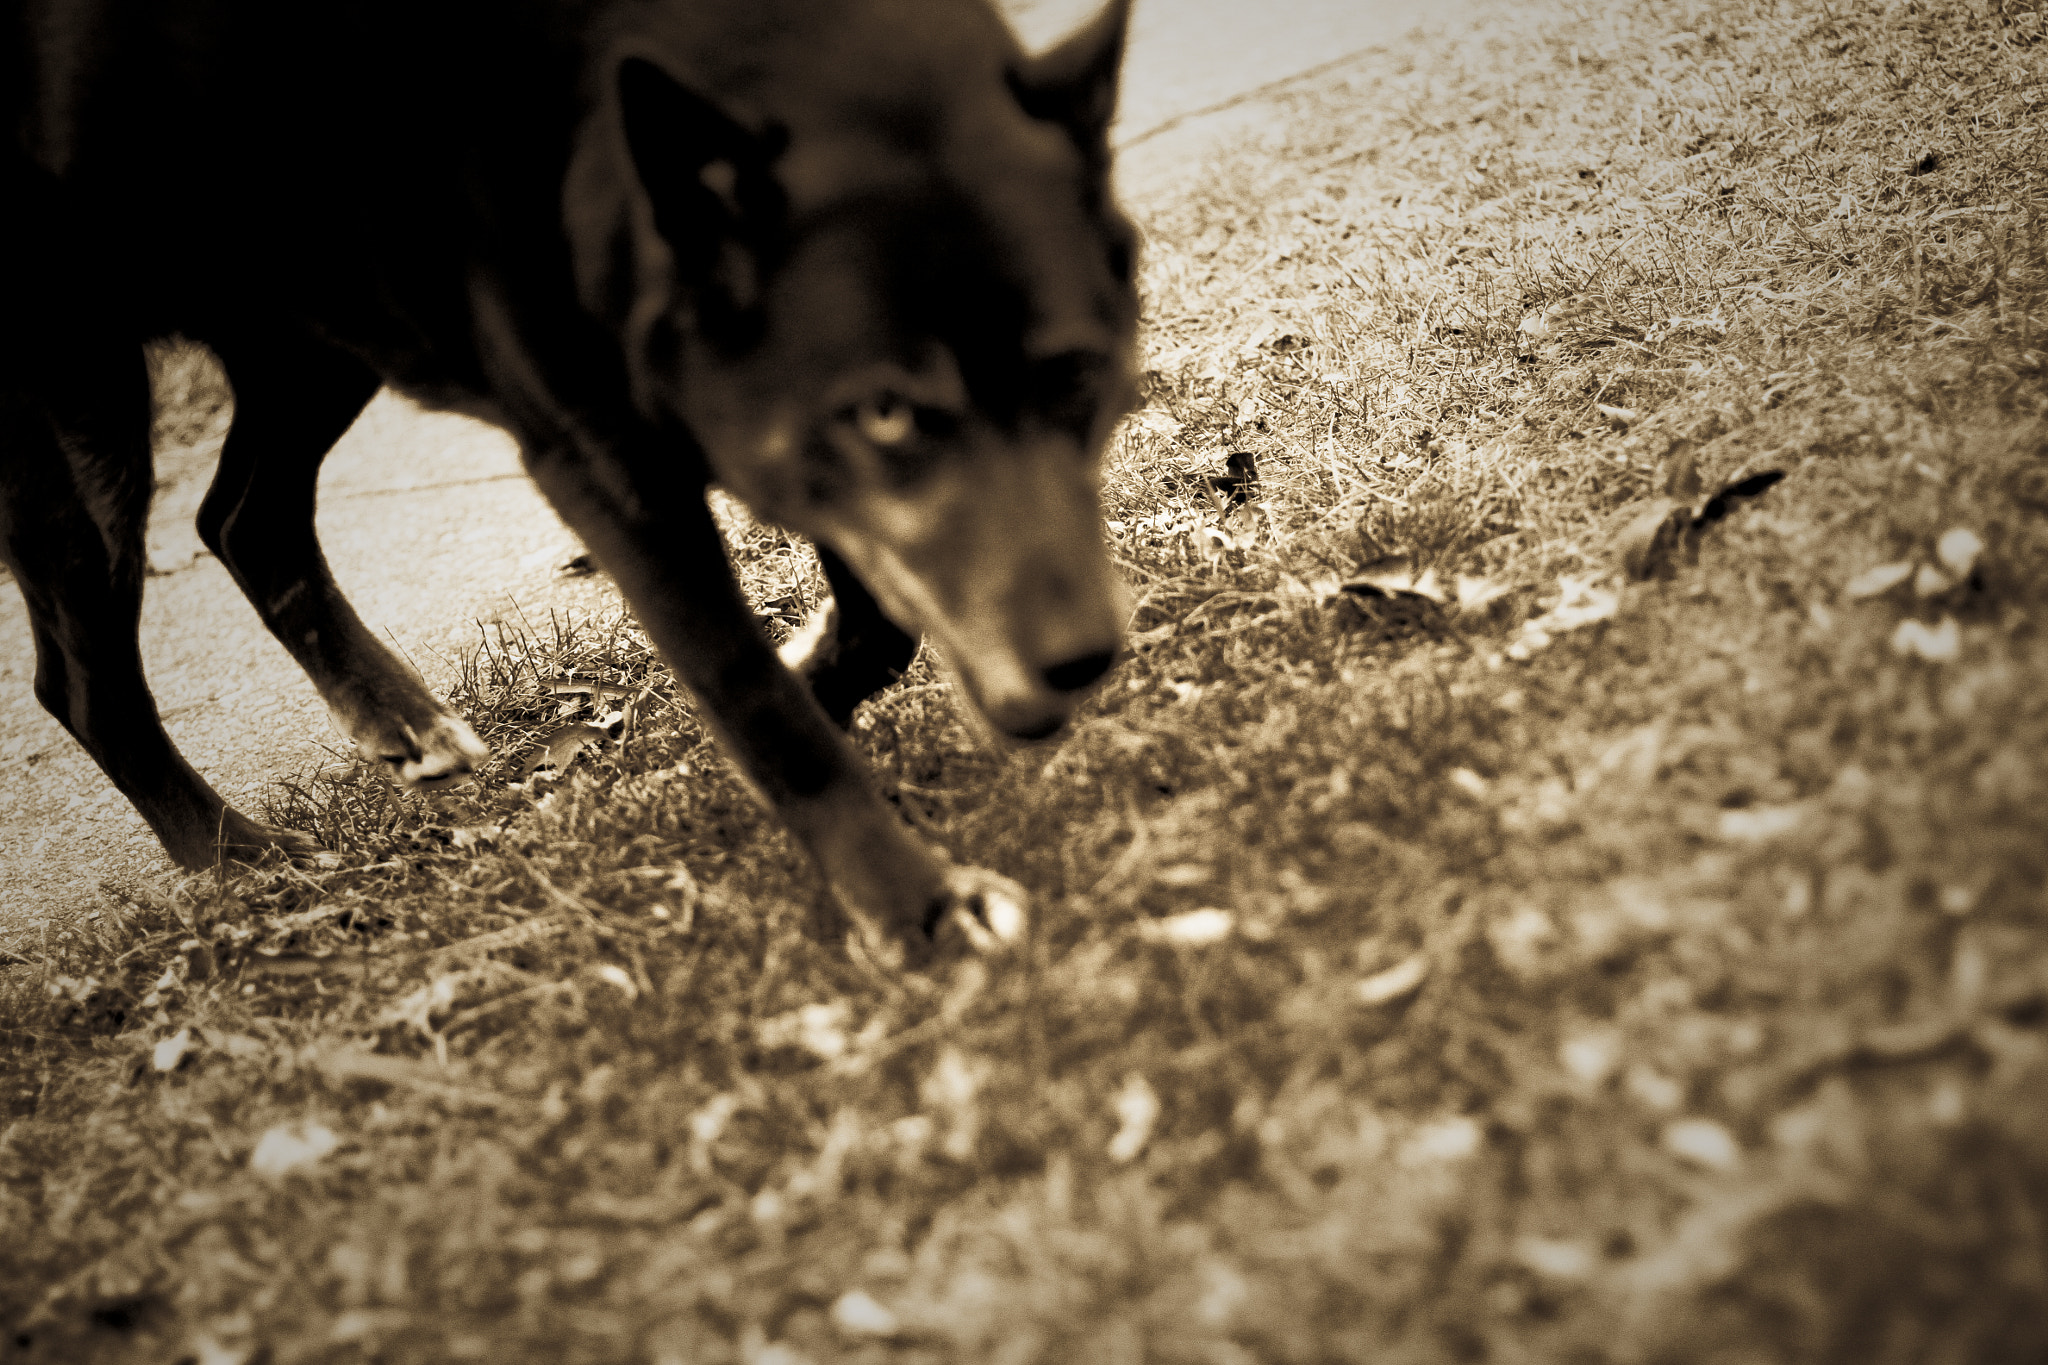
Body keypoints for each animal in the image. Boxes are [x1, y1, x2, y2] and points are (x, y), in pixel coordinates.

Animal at [4, 0, 1138, 957]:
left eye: (1078, 375)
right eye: (886, 410)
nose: (1080, 660)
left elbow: (875, 615)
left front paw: (820, 678)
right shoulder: (604, 465)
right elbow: (750, 692)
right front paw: (916, 907)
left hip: (316, 325)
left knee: (242, 517)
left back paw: (396, 723)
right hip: (87, 427)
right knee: (83, 677)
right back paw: (237, 860)